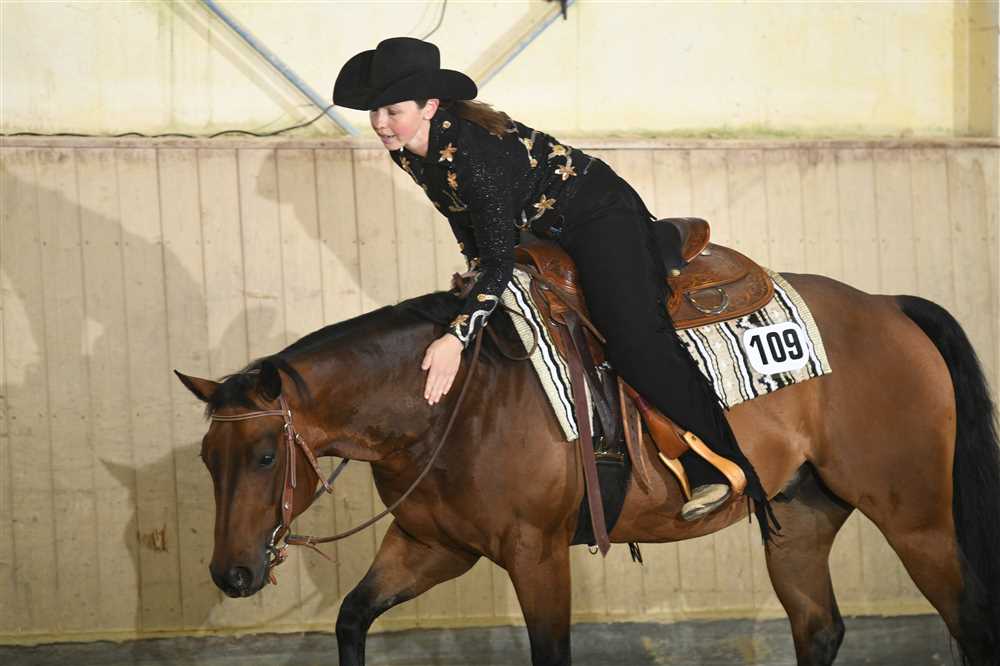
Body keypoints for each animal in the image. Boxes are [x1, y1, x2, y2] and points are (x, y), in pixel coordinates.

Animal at [176, 270, 1000, 666]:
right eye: (208, 460)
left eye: (263, 455)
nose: (230, 575)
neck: (452, 401)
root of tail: (887, 306)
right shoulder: (432, 547)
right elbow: (352, 618)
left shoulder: (535, 553)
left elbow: (551, 653)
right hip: (799, 519)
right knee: (820, 629)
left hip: (917, 519)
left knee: (969, 623)